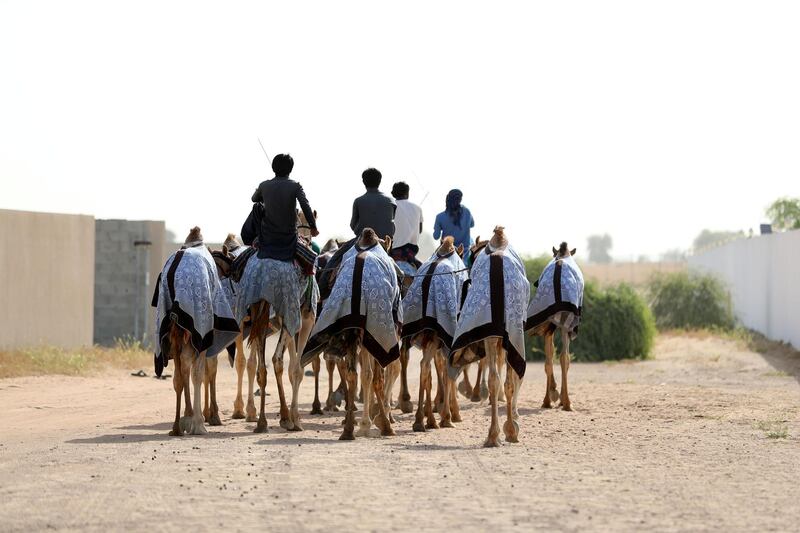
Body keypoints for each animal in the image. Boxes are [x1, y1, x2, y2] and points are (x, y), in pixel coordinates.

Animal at [302, 227, 400, 438]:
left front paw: (366, 419)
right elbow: (376, 376)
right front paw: (375, 420)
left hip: (351, 331)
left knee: (351, 372)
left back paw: (348, 427)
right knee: (374, 375)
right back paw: (382, 424)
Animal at [450, 224, 532, 444]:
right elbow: (508, 376)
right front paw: (512, 425)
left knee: (497, 378)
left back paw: (495, 434)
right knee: (502, 378)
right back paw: (503, 431)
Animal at [528, 242, 584, 412]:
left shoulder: (550, 324)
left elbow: (550, 354)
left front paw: (554, 394)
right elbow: (563, 357)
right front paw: (558, 397)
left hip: (551, 321)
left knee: (549, 358)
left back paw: (549, 400)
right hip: (564, 322)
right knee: (563, 357)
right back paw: (565, 402)